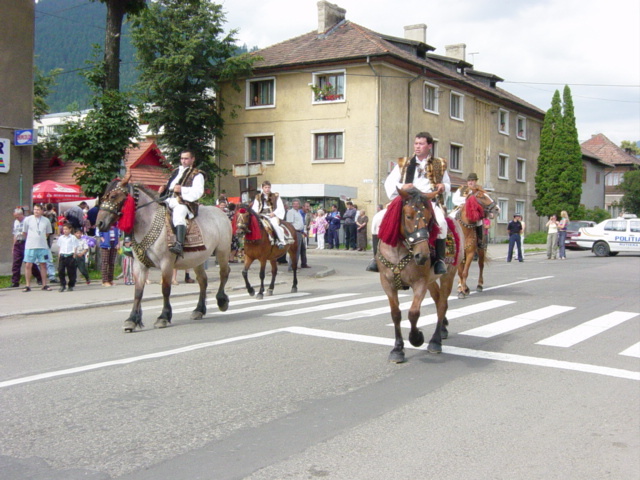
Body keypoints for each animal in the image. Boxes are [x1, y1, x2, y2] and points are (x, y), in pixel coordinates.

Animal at [96, 172, 231, 334]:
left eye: (114, 196)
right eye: (103, 197)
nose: (99, 223)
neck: (147, 222)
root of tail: (221, 212)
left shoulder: (166, 263)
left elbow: (165, 289)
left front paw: (163, 317)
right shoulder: (139, 265)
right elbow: (138, 292)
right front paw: (132, 320)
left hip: (222, 252)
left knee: (224, 273)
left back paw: (221, 300)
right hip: (198, 258)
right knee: (203, 281)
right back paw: (199, 310)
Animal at [378, 188, 462, 364]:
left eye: (430, 218)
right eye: (409, 216)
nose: (422, 256)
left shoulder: (420, 283)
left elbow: (413, 313)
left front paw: (416, 338)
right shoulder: (387, 283)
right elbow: (396, 314)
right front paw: (397, 349)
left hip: (448, 275)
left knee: (442, 304)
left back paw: (436, 341)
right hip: (432, 280)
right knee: (438, 300)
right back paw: (442, 329)